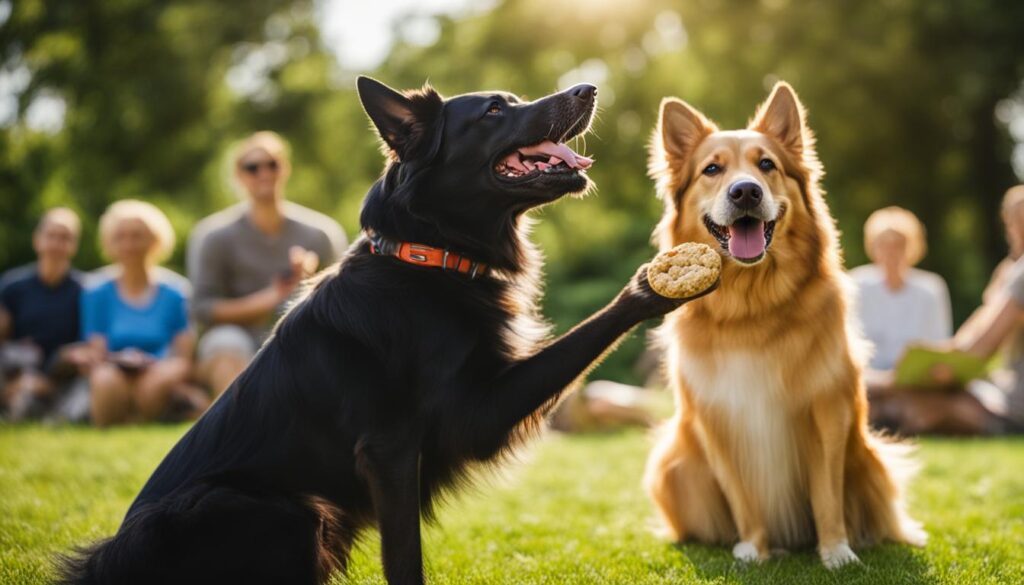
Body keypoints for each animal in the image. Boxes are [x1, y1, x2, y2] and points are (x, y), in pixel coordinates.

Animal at [61, 78, 696, 585]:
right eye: (494, 110)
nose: (589, 87)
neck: (429, 258)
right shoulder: (422, 437)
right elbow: (405, 559)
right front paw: (652, 287)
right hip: (289, 510)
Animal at [643, 81, 925, 569]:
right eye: (712, 168)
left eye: (767, 165)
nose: (745, 193)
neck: (752, 308)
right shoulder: (717, 418)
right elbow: (742, 496)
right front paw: (753, 549)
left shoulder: (827, 408)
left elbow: (827, 493)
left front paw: (836, 552)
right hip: (672, 464)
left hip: (871, 461)